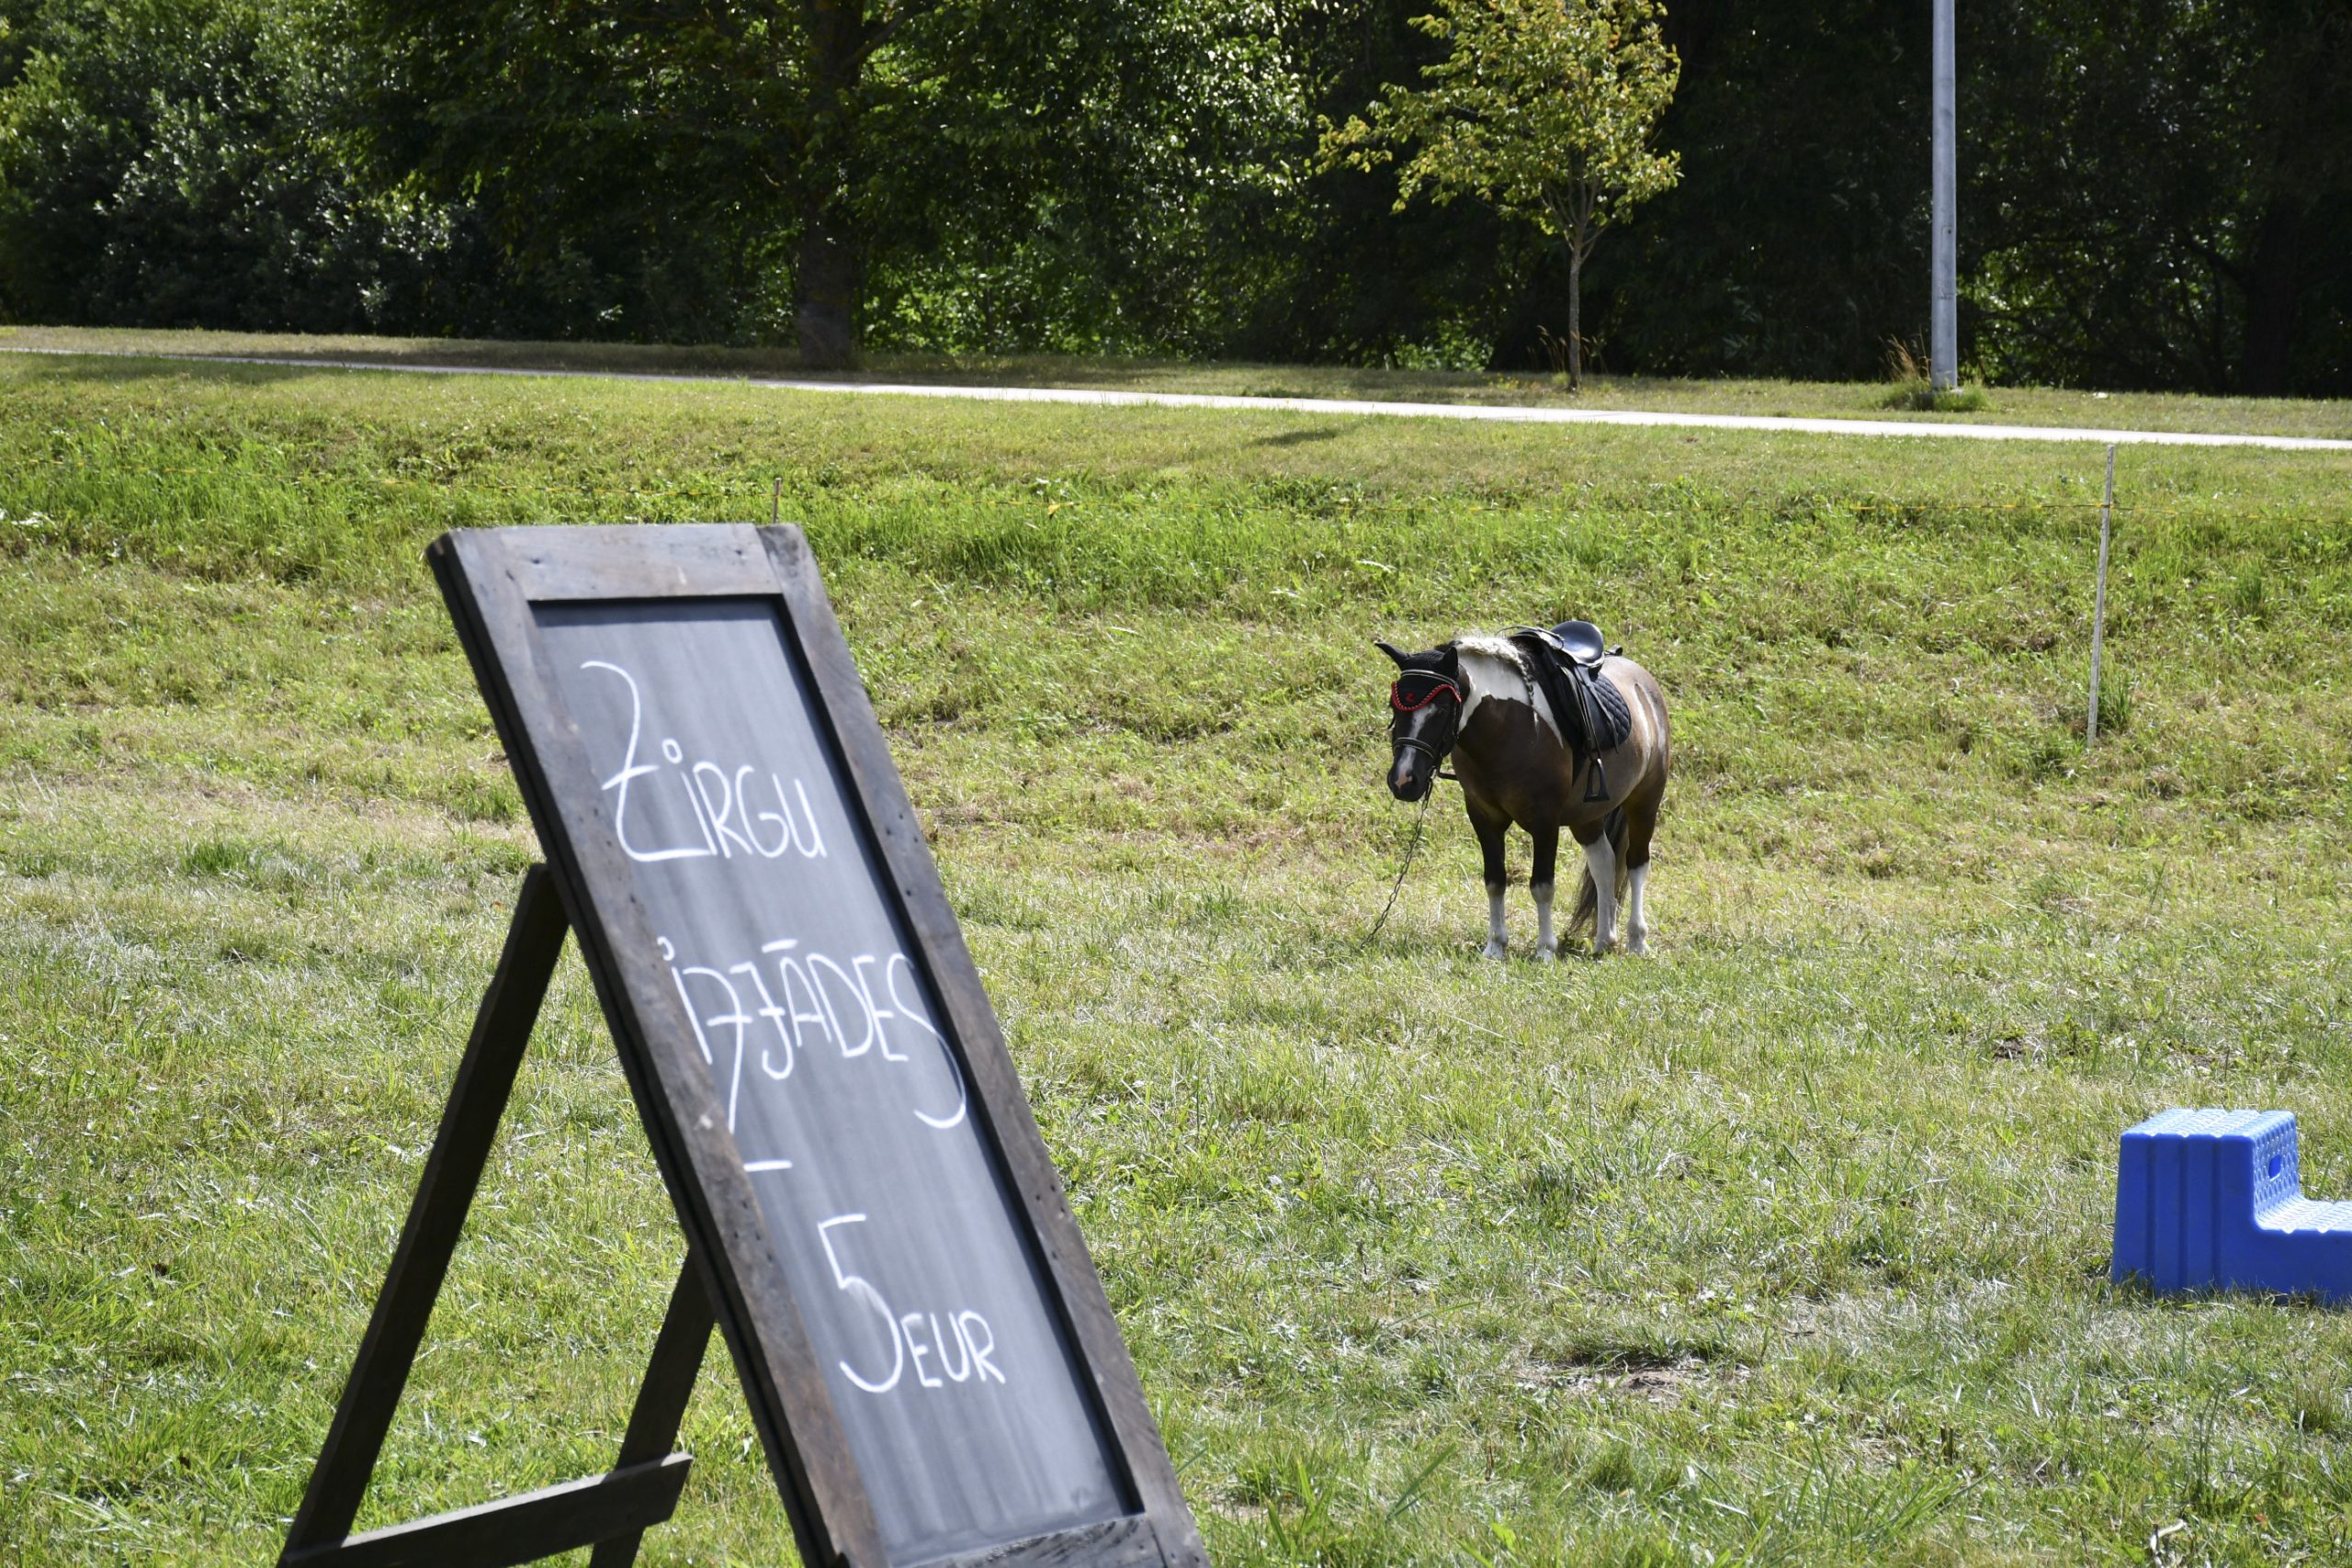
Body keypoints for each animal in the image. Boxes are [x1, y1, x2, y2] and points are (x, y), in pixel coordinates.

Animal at [1377, 630, 1670, 961]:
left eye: (1440, 709)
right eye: (1394, 706)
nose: (1403, 779)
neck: (1508, 727)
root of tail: (1644, 684)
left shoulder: (1545, 821)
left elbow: (1542, 886)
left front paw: (1544, 950)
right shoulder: (1484, 817)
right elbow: (1495, 881)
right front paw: (1495, 947)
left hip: (1644, 803)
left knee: (1636, 864)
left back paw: (1637, 941)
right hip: (1587, 817)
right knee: (1604, 865)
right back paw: (1603, 941)